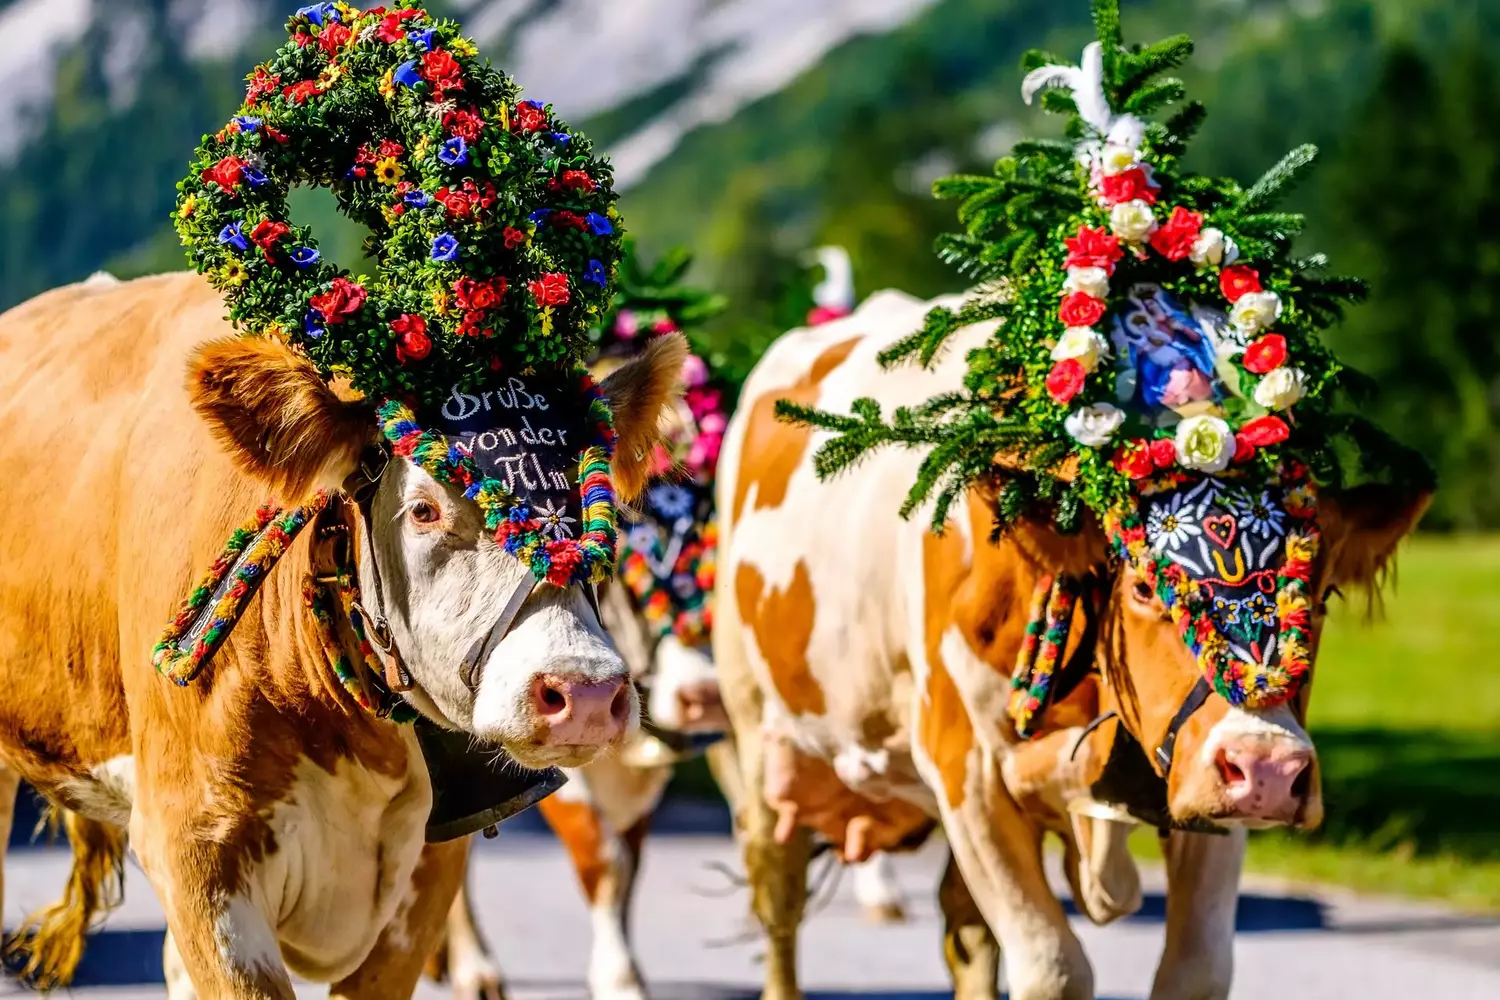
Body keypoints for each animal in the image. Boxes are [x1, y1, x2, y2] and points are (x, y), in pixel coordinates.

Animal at [714, 289, 1428, 1000]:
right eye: (1142, 585)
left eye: (1322, 596)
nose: (1269, 769)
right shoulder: (965, 769)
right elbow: (1053, 967)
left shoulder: (1199, 787)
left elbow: (1195, 969)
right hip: (754, 729)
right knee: (778, 895)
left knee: (962, 929)